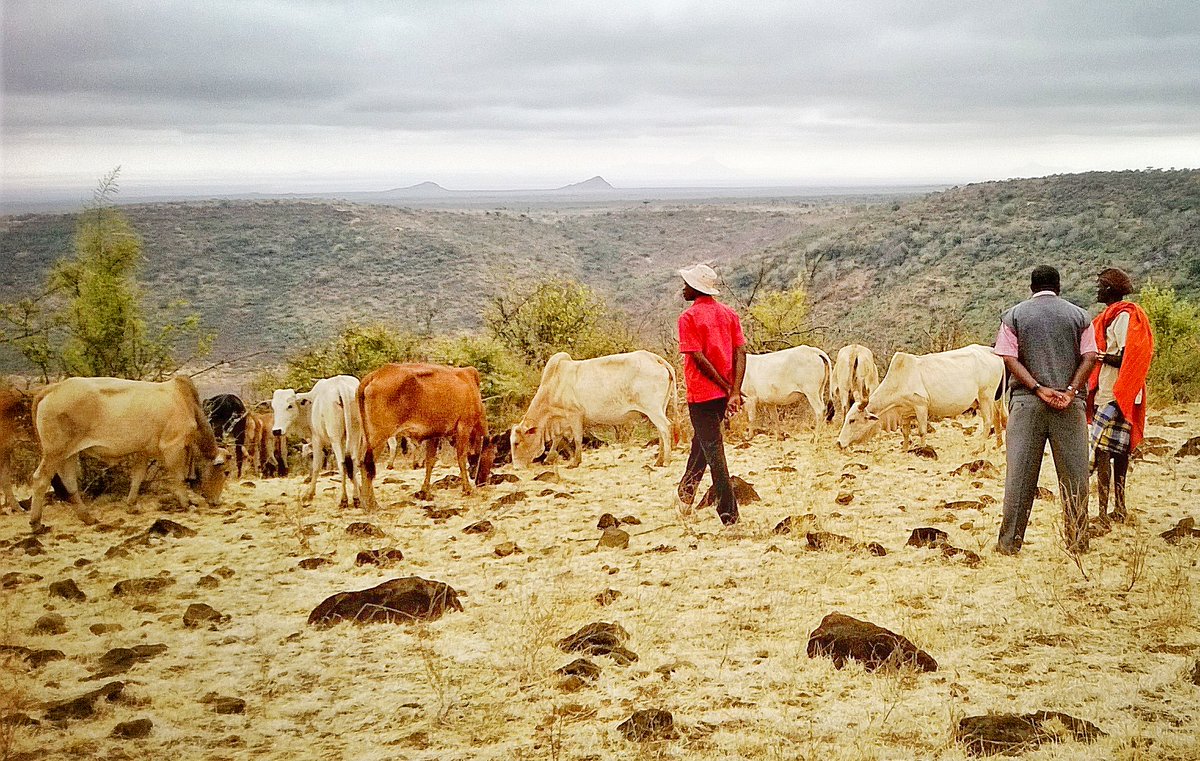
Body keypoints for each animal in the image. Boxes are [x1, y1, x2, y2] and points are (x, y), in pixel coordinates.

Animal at [27, 374, 229, 528]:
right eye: (226, 472)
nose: (217, 502)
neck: (185, 403)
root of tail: (52, 388)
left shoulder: (143, 451)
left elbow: (137, 477)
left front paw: (132, 505)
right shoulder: (172, 447)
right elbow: (178, 477)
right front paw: (187, 503)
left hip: (68, 455)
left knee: (70, 483)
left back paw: (88, 518)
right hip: (54, 452)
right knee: (40, 480)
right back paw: (36, 523)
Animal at [271, 372, 360, 504]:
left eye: (290, 406)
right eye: (274, 407)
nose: (277, 431)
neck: (310, 405)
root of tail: (341, 385)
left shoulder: (316, 438)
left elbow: (316, 466)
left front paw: (309, 494)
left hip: (335, 437)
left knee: (342, 464)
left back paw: (343, 499)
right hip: (355, 434)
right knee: (354, 461)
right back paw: (356, 497)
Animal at [355, 362, 492, 508]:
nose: (483, 482)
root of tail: (375, 374)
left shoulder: (435, 435)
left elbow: (430, 462)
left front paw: (425, 491)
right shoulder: (464, 427)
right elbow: (461, 458)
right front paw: (467, 489)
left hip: (367, 438)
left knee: (361, 463)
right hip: (379, 437)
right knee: (366, 464)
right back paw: (371, 504)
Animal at [508, 350, 681, 468]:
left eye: (516, 443)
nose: (516, 467)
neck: (555, 383)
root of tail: (654, 358)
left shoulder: (574, 414)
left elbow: (577, 439)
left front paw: (575, 462)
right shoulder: (563, 420)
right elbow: (558, 439)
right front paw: (549, 458)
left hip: (653, 409)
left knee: (666, 427)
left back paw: (666, 460)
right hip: (659, 408)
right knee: (661, 431)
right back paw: (659, 460)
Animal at [840, 345, 1008, 451]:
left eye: (852, 420)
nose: (839, 443)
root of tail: (992, 352)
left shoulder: (920, 405)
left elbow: (921, 431)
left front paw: (922, 449)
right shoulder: (905, 412)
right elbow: (905, 432)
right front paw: (904, 449)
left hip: (985, 396)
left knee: (988, 421)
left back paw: (979, 448)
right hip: (992, 399)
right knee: (997, 417)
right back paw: (998, 444)